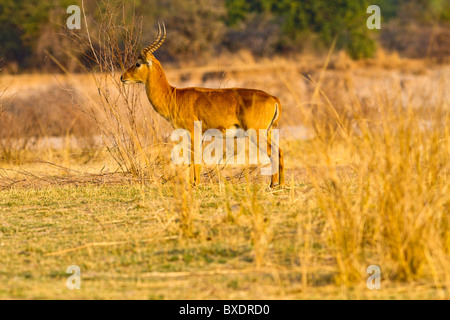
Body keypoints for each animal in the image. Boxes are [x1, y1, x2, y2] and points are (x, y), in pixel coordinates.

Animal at [120, 23, 284, 188]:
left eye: (137, 64)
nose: (122, 77)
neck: (173, 95)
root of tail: (273, 98)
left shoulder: (193, 131)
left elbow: (194, 156)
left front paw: (196, 184)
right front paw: (194, 182)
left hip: (256, 133)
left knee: (273, 152)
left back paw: (276, 185)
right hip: (268, 132)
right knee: (279, 151)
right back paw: (277, 184)